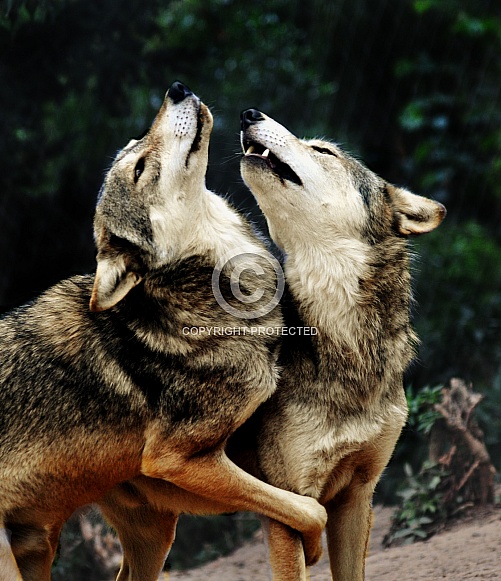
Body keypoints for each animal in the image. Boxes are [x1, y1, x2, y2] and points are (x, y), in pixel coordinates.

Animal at [0, 82, 324, 580]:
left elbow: (293, 503)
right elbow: (308, 508)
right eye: (138, 169)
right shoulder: (173, 460)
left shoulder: (174, 478)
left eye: (136, 144)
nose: (176, 88)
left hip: (142, 534)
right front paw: (313, 549)